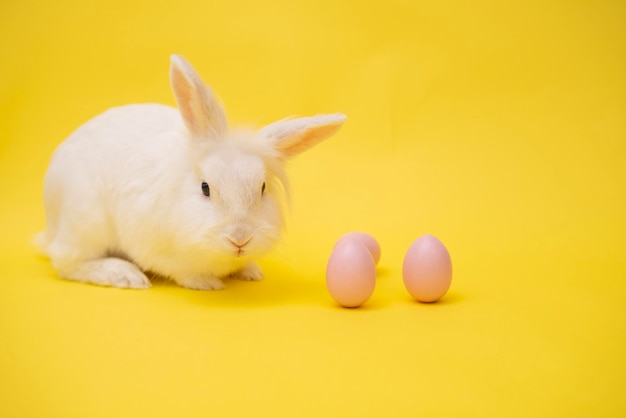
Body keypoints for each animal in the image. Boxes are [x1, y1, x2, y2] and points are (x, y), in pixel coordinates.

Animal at [36, 54, 344, 290]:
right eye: (205, 188)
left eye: (263, 188)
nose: (240, 239)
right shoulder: (154, 247)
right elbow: (182, 271)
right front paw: (206, 283)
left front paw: (251, 271)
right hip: (85, 222)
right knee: (67, 262)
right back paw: (124, 275)